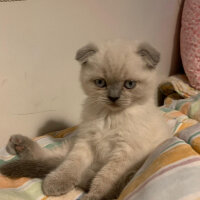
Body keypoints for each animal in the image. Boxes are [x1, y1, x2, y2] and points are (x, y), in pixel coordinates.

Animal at [0, 39, 171, 199]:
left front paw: (94, 196)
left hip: (131, 169)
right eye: (101, 82)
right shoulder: (86, 141)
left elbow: (105, 178)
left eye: (129, 84)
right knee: (51, 159)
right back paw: (18, 145)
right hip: (71, 145)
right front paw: (56, 183)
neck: (109, 116)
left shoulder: (124, 152)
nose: (113, 97)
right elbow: (70, 165)